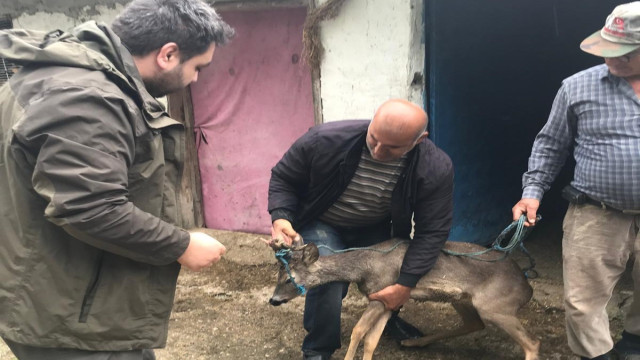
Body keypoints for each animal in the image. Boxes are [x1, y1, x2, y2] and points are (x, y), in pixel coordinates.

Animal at [264, 239, 540, 360]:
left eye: (288, 279)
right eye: (277, 274)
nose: (273, 300)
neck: (364, 268)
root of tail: (527, 288)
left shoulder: (381, 293)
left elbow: (358, 331)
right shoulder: (389, 301)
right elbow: (371, 340)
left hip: (496, 304)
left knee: (532, 343)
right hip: (463, 300)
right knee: (475, 323)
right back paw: (413, 342)